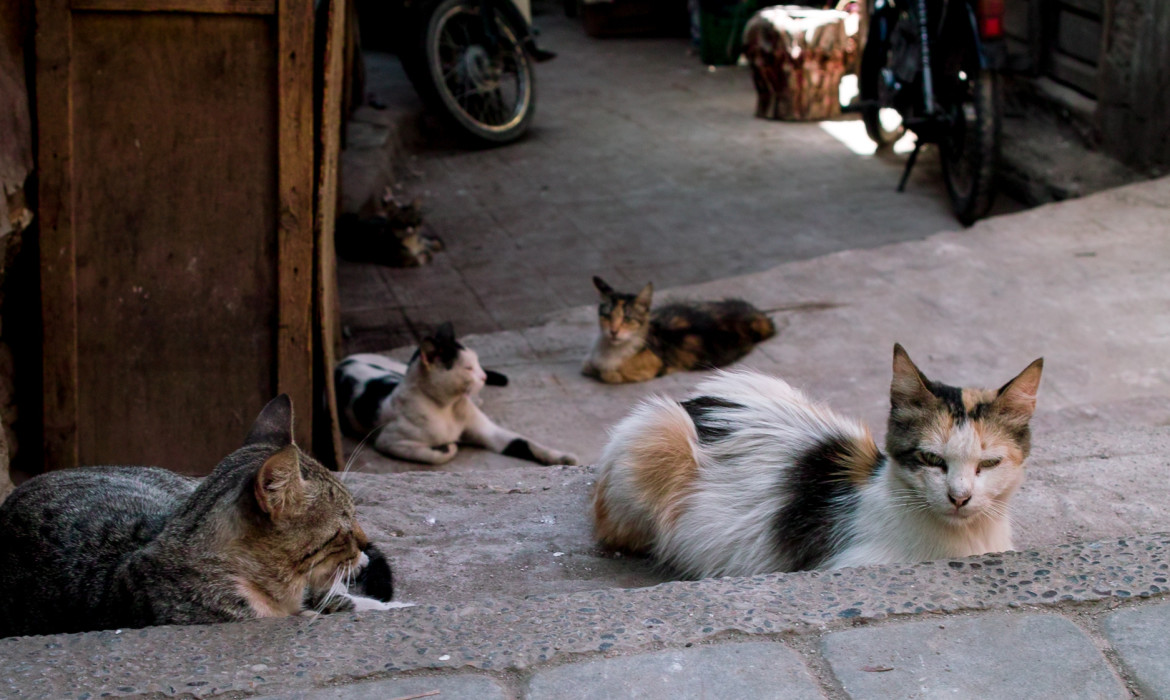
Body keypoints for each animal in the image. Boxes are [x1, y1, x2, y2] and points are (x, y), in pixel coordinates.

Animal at [336, 323, 577, 465]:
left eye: (478, 363)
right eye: (468, 368)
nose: (484, 377)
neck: (449, 407)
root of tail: (342, 360)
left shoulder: (490, 431)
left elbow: (527, 443)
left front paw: (563, 457)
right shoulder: (390, 441)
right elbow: (438, 454)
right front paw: (449, 445)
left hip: (394, 366)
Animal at [585, 276, 776, 383]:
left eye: (627, 319)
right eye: (607, 316)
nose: (613, 331)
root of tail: (755, 317)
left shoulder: (655, 367)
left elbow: (611, 375)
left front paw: (604, 372)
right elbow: (589, 365)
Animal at [594, 346, 1043, 580]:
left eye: (989, 463)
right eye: (932, 459)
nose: (959, 497)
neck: (966, 541)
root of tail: (692, 402)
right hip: (657, 436)